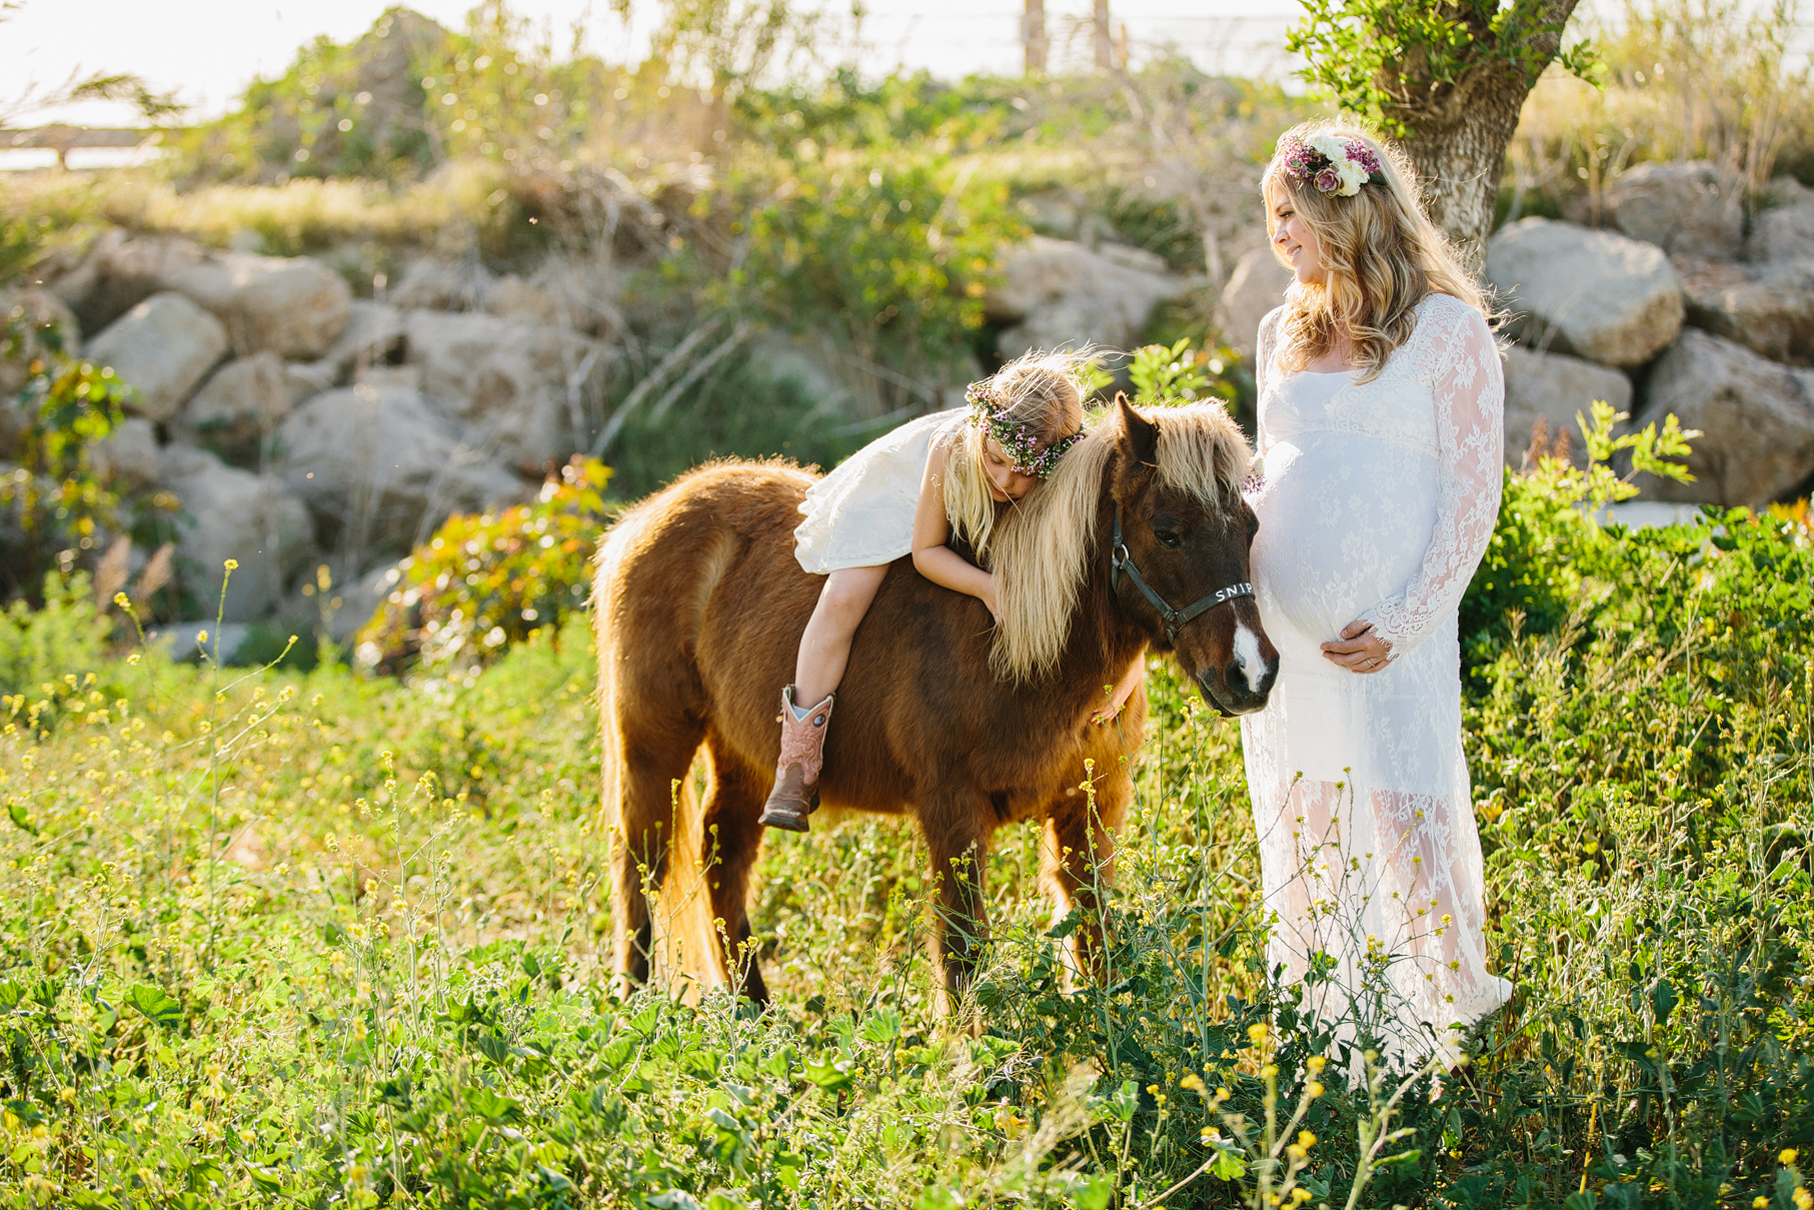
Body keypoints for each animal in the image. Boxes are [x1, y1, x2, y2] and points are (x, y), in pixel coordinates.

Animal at [594, 393, 1277, 1008]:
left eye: (1251, 527)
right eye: (1168, 533)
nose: (1251, 672)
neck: (1017, 647)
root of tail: (644, 518)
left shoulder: (1092, 807)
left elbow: (1094, 930)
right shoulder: (953, 811)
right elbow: (963, 951)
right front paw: (978, 1060)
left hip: (745, 755)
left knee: (721, 857)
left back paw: (757, 1015)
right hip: (654, 742)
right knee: (642, 863)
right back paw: (633, 1014)